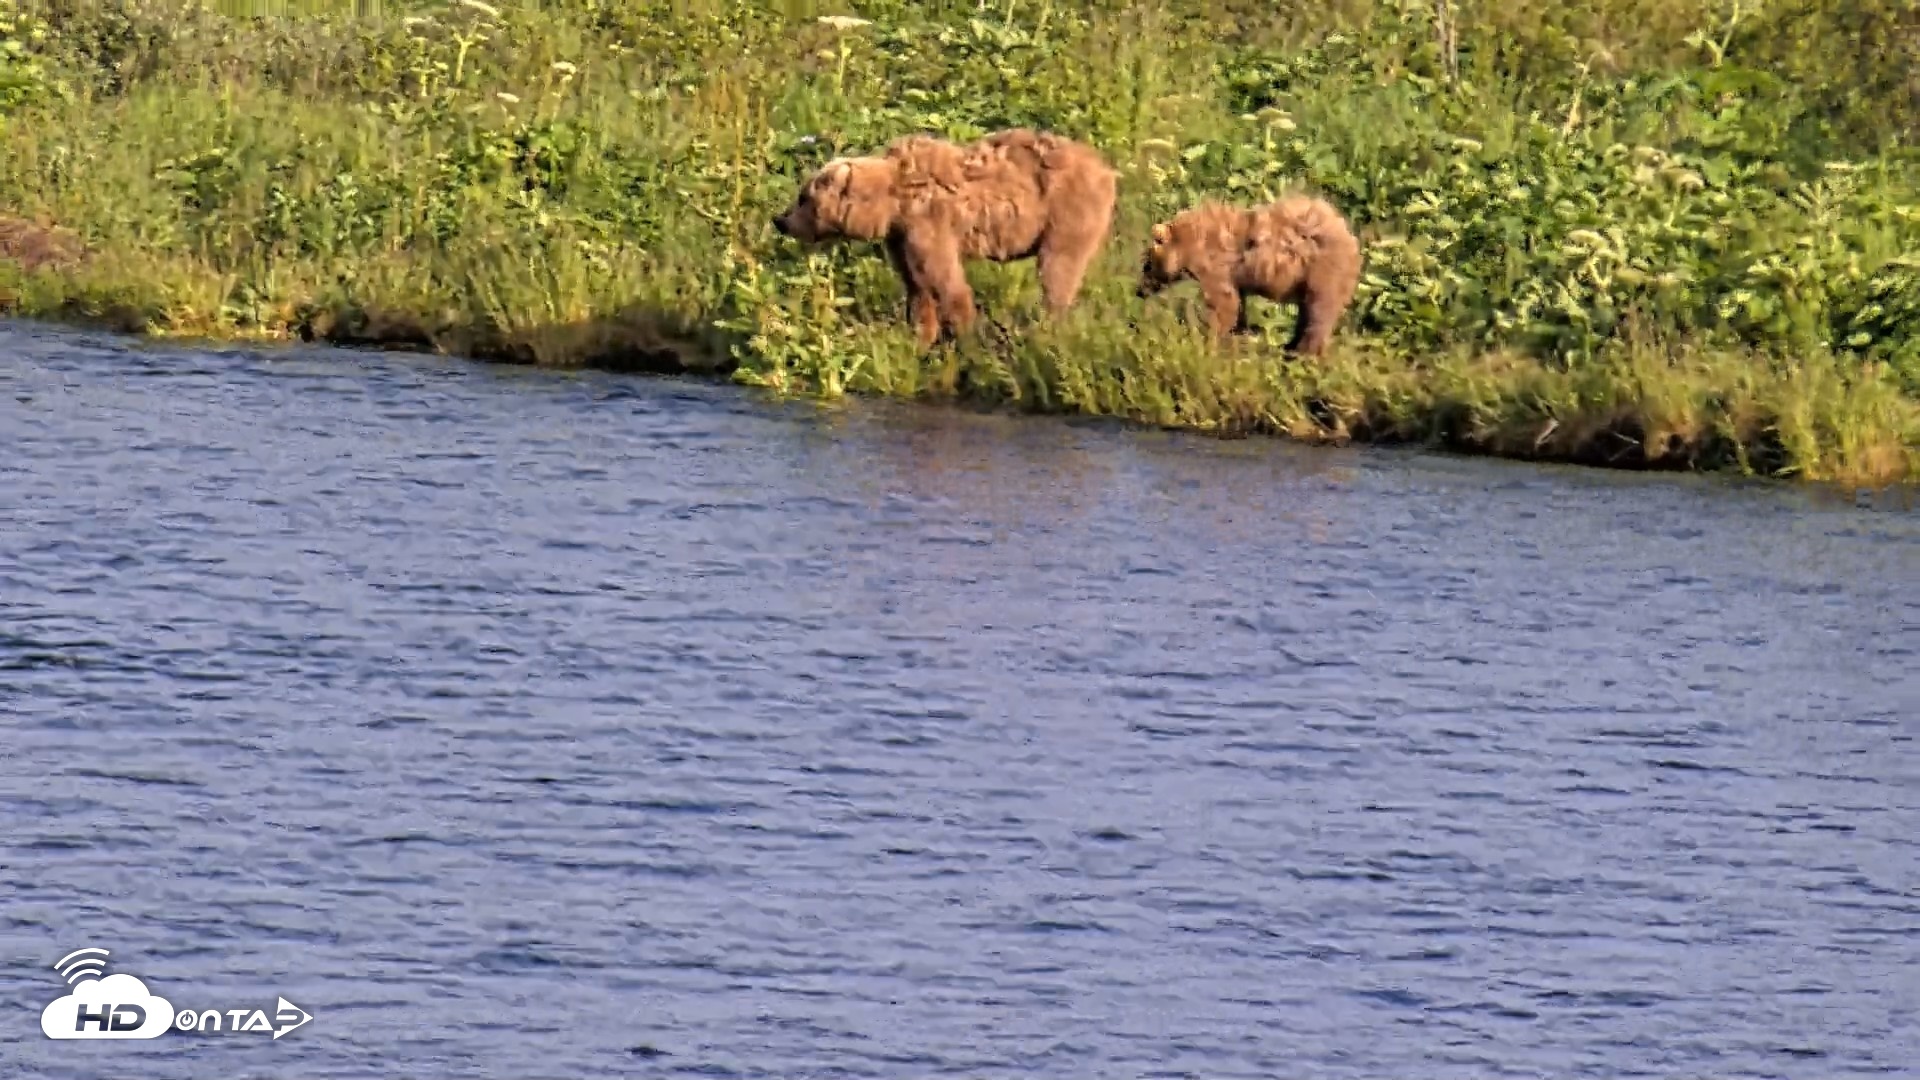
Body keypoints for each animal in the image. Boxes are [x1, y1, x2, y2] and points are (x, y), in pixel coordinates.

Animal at [772, 127, 1120, 350]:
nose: (780, 220)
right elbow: (917, 285)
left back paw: (1047, 325)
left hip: (1065, 215)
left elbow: (944, 279)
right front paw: (919, 335)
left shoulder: (930, 222)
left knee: (1058, 268)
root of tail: (1106, 169)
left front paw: (963, 333)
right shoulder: (901, 237)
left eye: (803, 197)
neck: (895, 203)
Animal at [1135, 193, 1362, 356]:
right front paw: (1237, 330)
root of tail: (1350, 236)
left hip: (1323, 272)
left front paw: (1208, 336)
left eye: (1146, 266)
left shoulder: (1216, 265)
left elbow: (1223, 302)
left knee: (1319, 312)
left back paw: (1303, 351)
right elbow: (1237, 302)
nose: (1139, 291)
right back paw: (1290, 346)